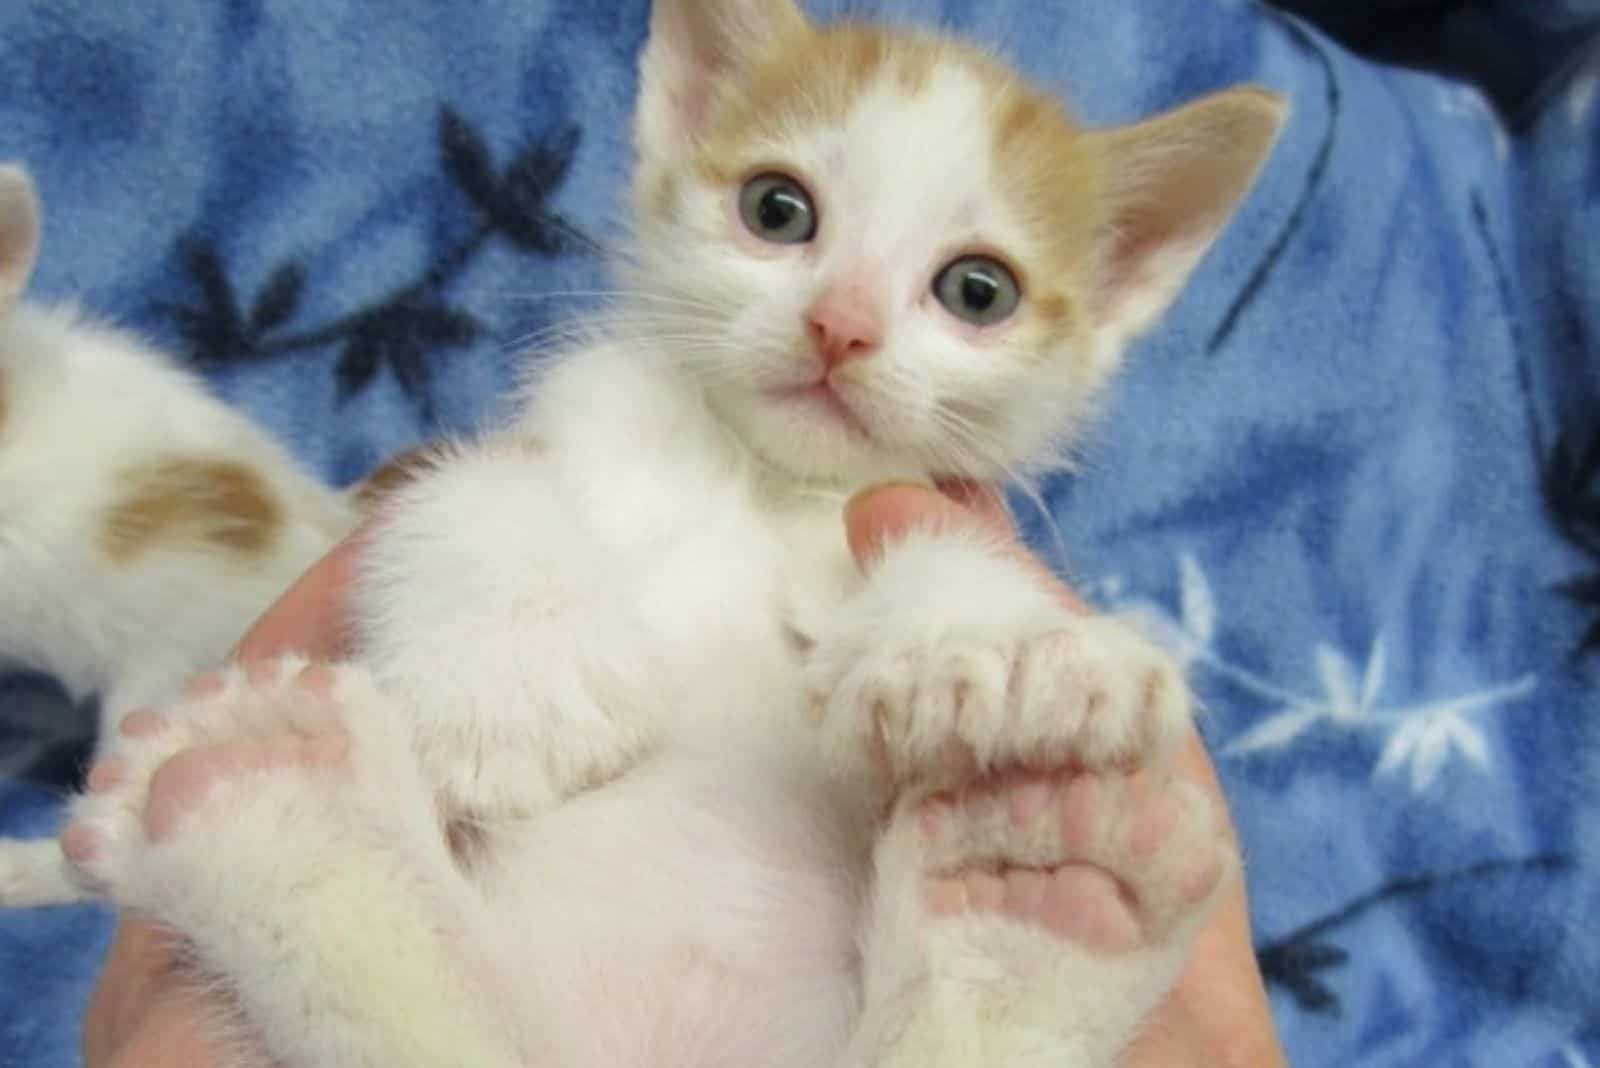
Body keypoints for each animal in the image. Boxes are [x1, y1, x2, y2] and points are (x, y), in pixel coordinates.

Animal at [53, 0, 1286, 1061]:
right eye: (777, 210)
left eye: (977, 291)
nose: (840, 325)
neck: (745, 481)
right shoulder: (537, 438)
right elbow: (465, 485)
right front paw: (513, 687)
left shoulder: (902, 500)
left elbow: (935, 546)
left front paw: (1005, 650)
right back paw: (272, 799)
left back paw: (1040, 894)